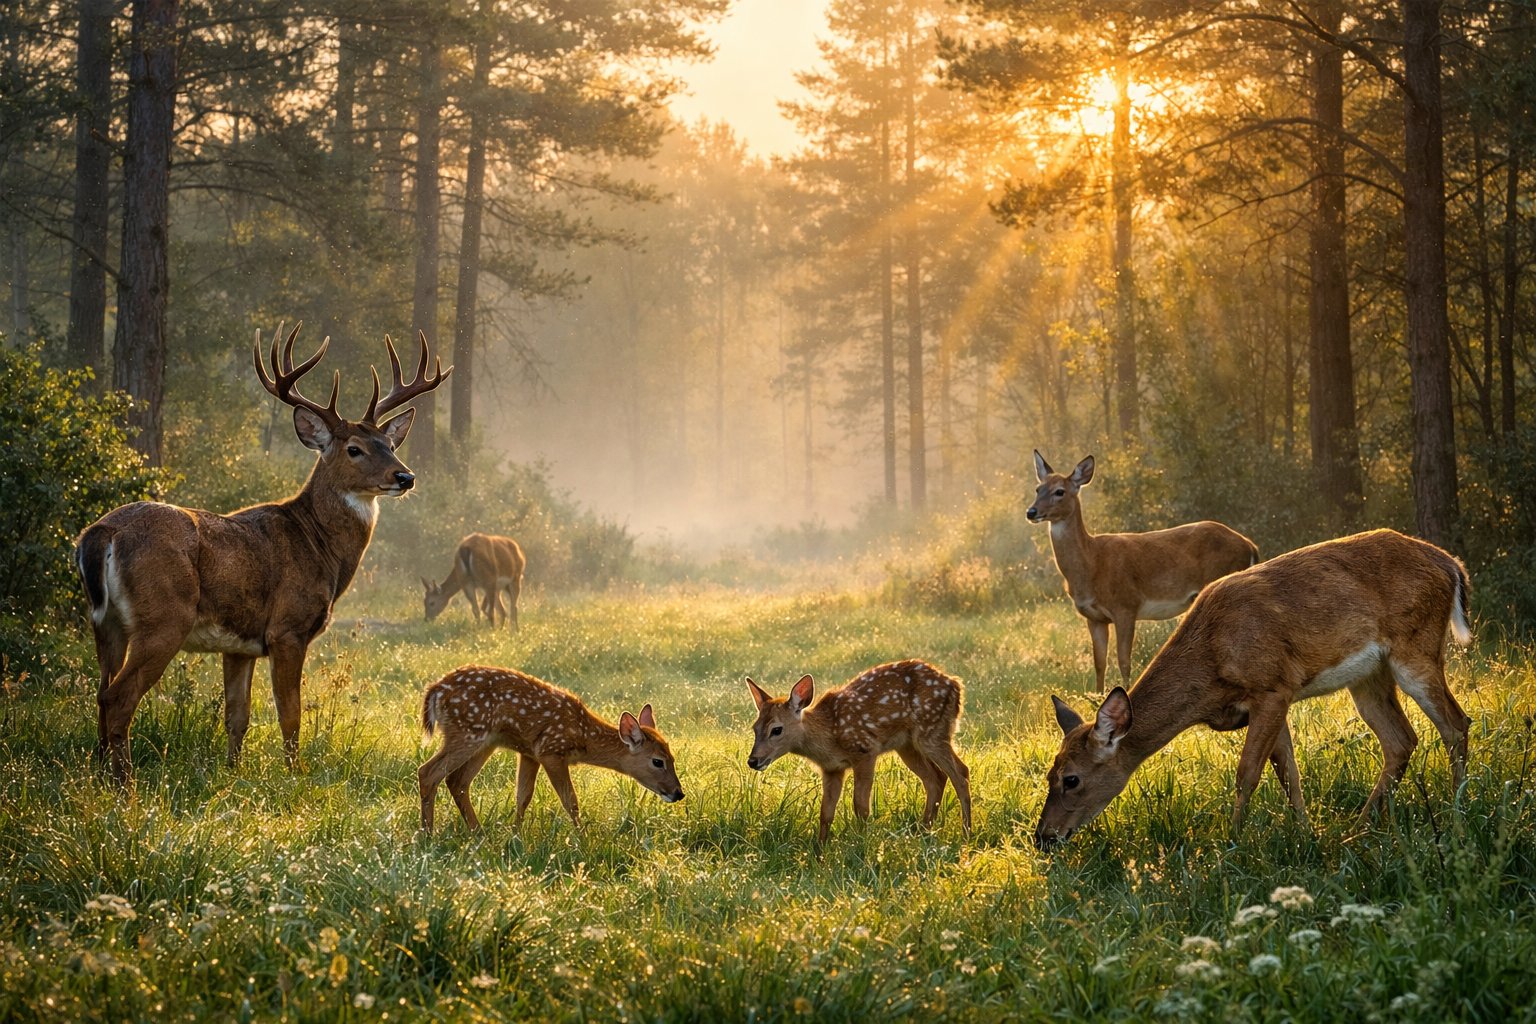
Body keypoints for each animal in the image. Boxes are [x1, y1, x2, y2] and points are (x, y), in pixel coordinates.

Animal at [74, 322, 450, 785]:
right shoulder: (287, 628)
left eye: (389, 444)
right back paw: (124, 784)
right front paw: (295, 773)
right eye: (354, 449)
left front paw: (232, 773)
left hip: (105, 622)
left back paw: (99, 775)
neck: (319, 546)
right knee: (118, 696)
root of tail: (101, 534)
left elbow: (237, 715)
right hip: (163, 617)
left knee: (100, 691)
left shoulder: (239, 645)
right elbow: (290, 713)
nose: (405, 476)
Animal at [418, 664, 684, 831]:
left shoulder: (529, 753)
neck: (583, 737)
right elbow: (571, 801)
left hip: (486, 741)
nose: (678, 793)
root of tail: (434, 690)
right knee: (428, 772)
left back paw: (478, 833)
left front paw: (515, 836)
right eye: (657, 761)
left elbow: (523, 796)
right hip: (467, 731)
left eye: (673, 757)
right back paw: (428, 834)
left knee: (457, 781)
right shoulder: (551, 750)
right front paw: (581, 838)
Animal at [745, 660, 973, 843]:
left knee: (961, 772)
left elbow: (861, 807)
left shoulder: (865, 751)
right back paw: (924, 831)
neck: (829, 735)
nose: (753, 761)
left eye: (777, 729)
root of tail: (956, 685)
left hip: (932, 731)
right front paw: (819, 854)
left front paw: (861, 846)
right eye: (755, 728)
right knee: (936, 777)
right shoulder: (832, 769)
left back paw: (966, 833)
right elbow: (825, 813)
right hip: (907, 745)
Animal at [1028, 451, 1259, 691]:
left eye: (1059, 491)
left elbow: (1124, 661)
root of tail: (1250, 545)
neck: (1091, 563)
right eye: (1037, 489)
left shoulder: (1126, 605)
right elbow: (1099, 664)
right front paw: (1097, 696)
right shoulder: (1094, 617)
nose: (1031, 512)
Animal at [1033, 528, 1474, 850]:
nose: (1043, 837)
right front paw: (1306, 835)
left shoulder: (1273, 687)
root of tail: (1451, 565)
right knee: (1401, 740)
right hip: (1367, 676)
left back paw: (1457, 819)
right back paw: (1358, 828)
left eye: (1071, 779)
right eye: (1049, 774)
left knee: (1456, 724)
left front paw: (1233, 843)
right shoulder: (1270, 701)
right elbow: (1288, 772)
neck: (1210, 663)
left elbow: (1248, 772)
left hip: (1416, 647)